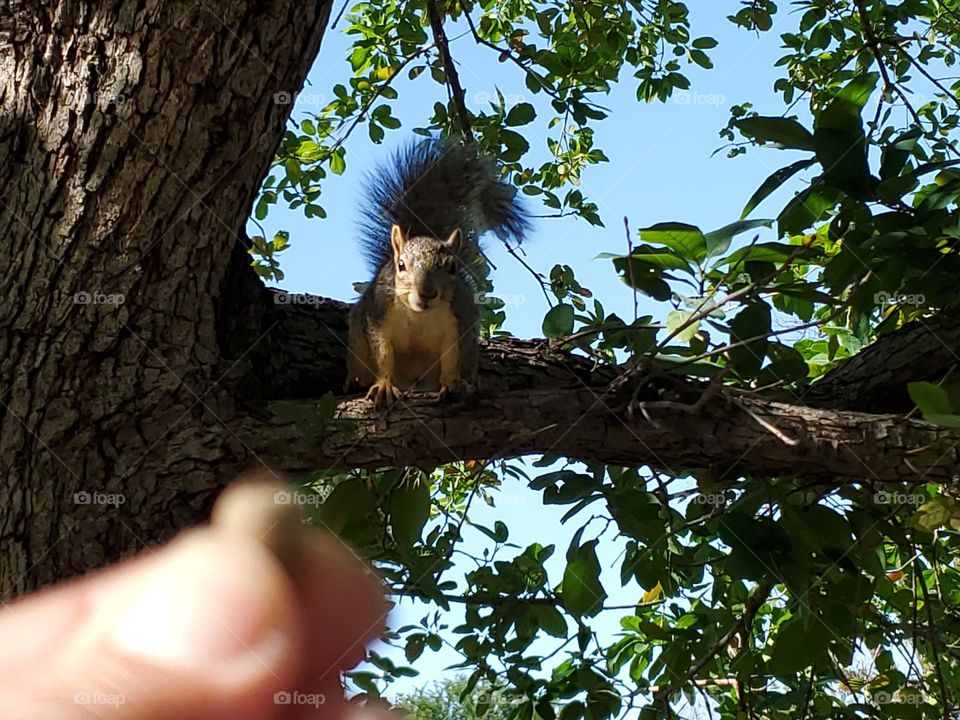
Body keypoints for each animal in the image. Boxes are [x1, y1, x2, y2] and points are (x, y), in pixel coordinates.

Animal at [345, 138, 528, 407]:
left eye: (452, 267)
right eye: (401, 265)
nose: (427, 293)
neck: (419, 315)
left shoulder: (458, 322)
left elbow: (452, 359)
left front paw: (454, 384)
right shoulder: (377, 314)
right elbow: (383, 353)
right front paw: (384, 386)